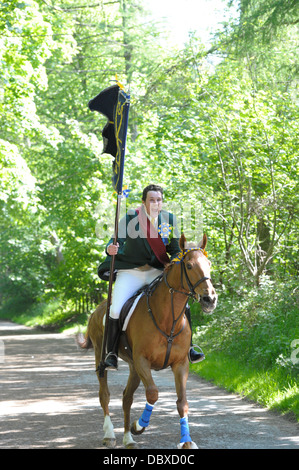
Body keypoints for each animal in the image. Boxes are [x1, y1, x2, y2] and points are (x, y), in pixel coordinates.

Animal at [78, 235, 217, 448]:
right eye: (190, 265)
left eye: (209, 264)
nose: (209, 299)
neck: (167, 320)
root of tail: (98, 309)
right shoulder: (143, 361)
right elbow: (153, 393)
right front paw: (139, 425)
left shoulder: (180, 364)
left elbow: (182, 402)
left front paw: (186, 440)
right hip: (102, 358)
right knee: (105, 395)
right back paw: (110, 434)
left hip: (134, 367)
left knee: (126, 397)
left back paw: (128, 438)